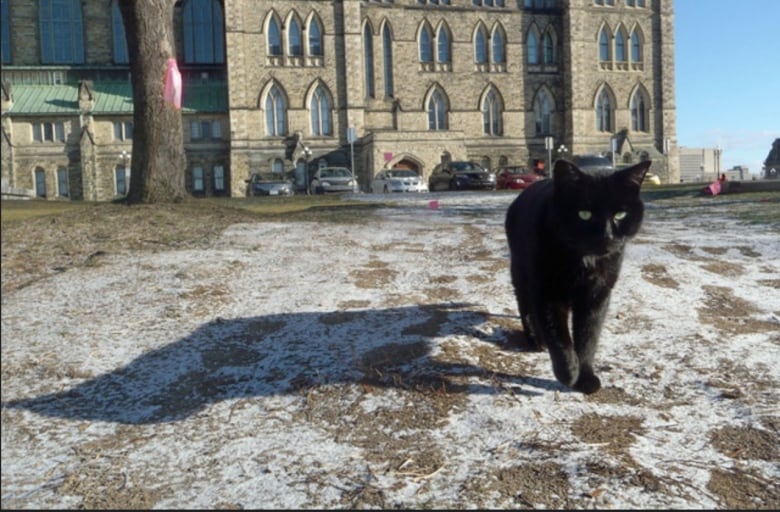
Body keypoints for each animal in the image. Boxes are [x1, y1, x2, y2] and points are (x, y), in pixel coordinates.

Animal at [502, 158, 648, 394]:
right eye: (584, 214)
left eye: (620, 215)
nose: (606, 236)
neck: (584, 260)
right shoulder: (548, 292)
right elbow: (559, 338)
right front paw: (569, 374)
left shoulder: (597, 295)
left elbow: (588, 337)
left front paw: (585, 377)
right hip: (521, 270)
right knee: (525, 305)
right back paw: (535, 339)